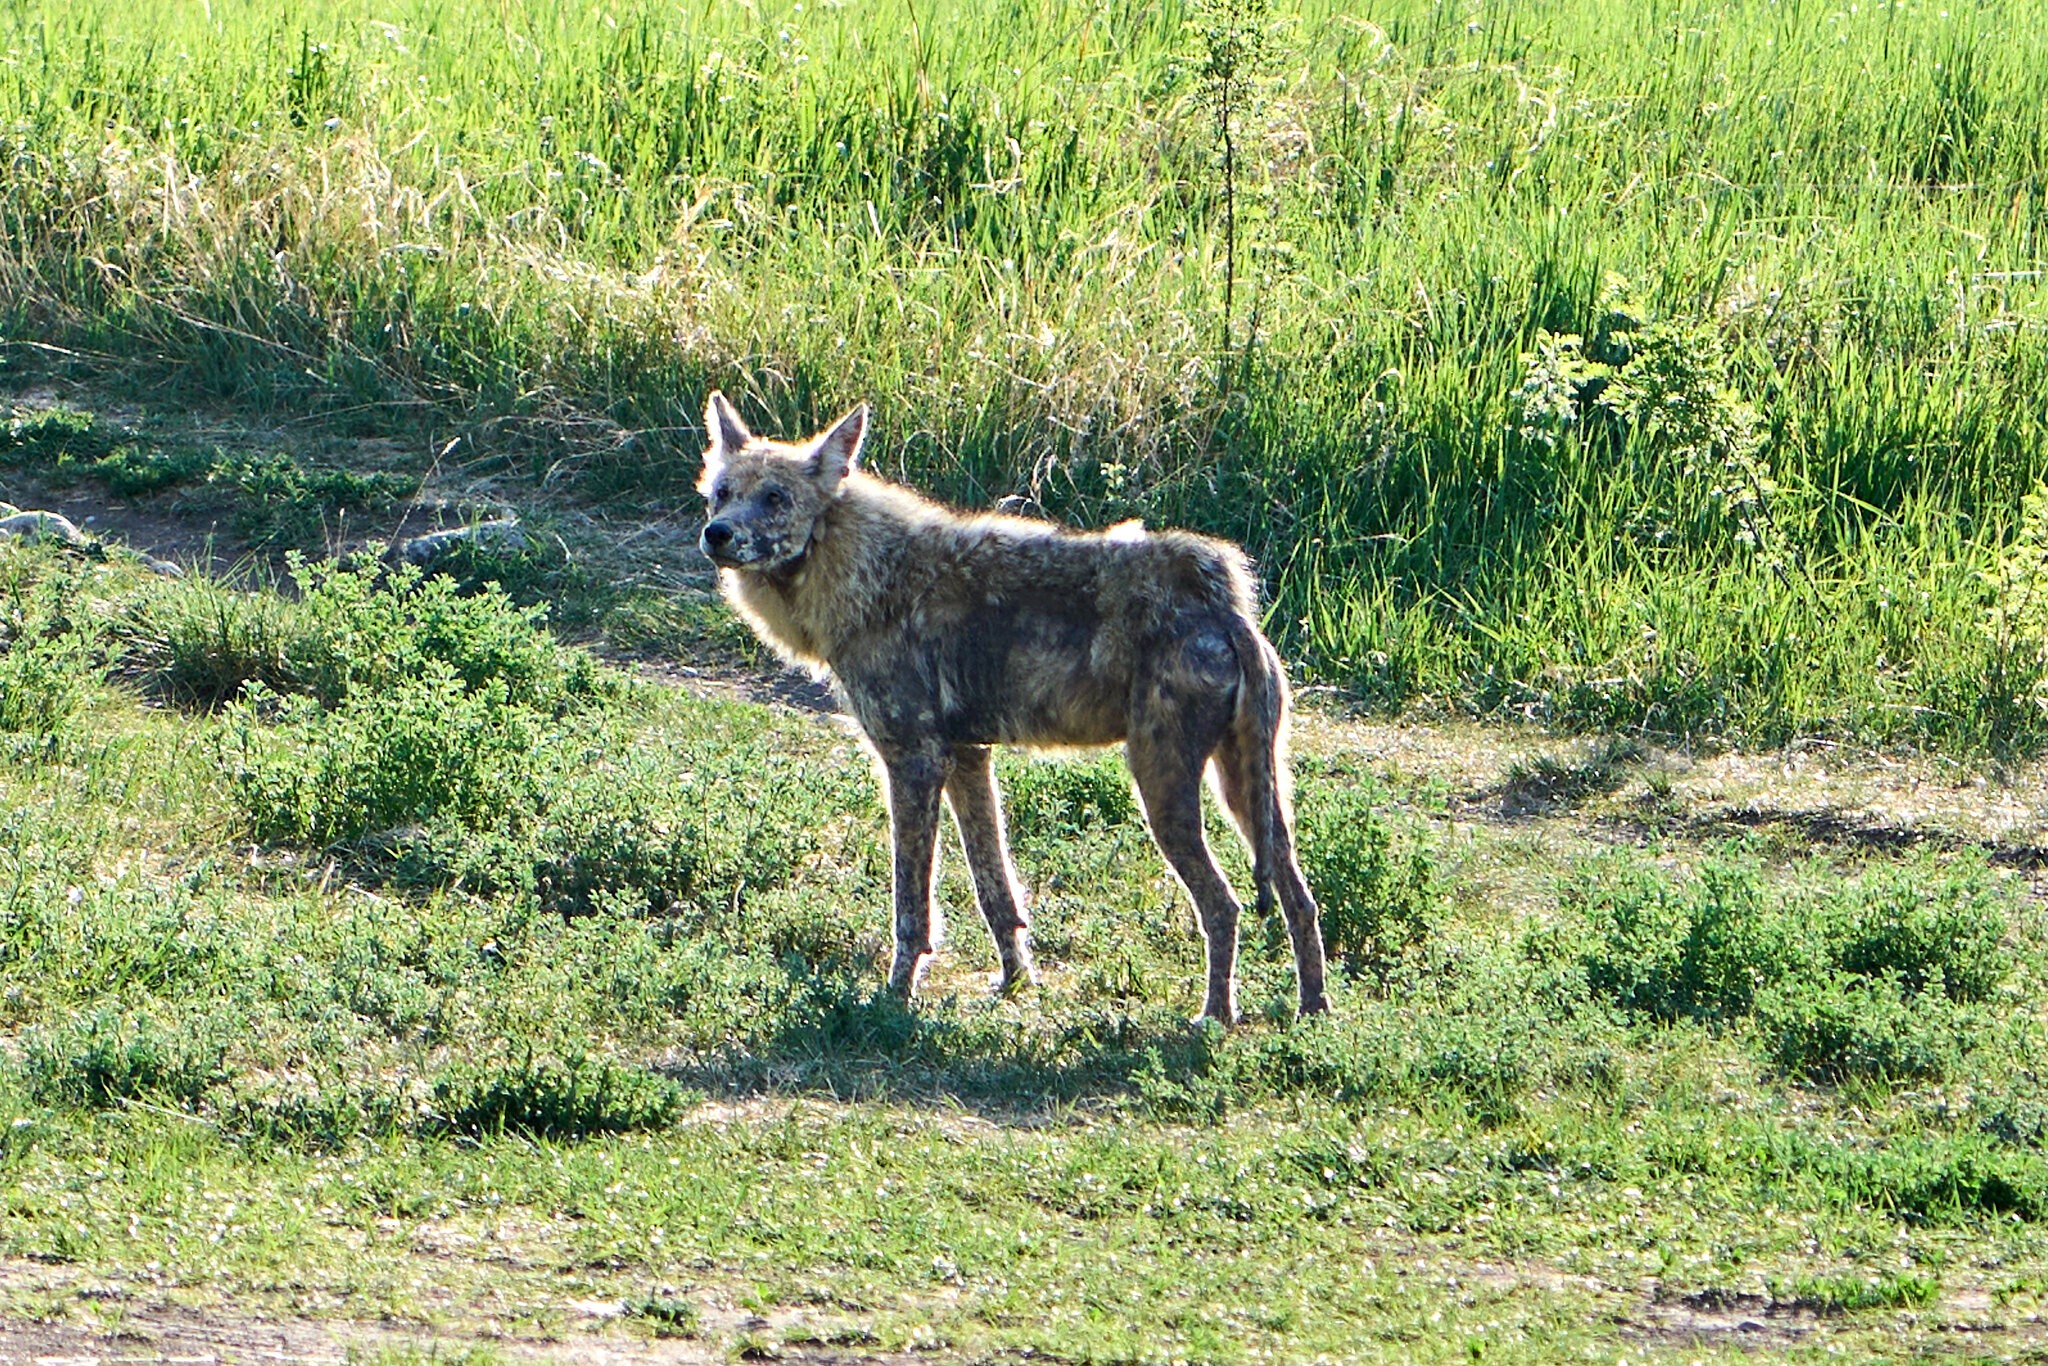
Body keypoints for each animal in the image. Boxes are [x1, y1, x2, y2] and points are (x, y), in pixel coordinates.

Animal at [695, 392, 1327, 1023]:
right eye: (722, 493)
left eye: (775, 499)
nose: (716, 534)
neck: (866, 573)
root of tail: (1223, 607)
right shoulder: (967, 760)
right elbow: (995, 892)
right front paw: (1015, 982)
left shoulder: (914, 762)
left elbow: (911, 910)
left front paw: (894, 1000)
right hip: (1247, 795)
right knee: (1301, 900)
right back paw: (1311, 1013)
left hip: (1163, 794)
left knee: (1225, 905)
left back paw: (1214, 1020)